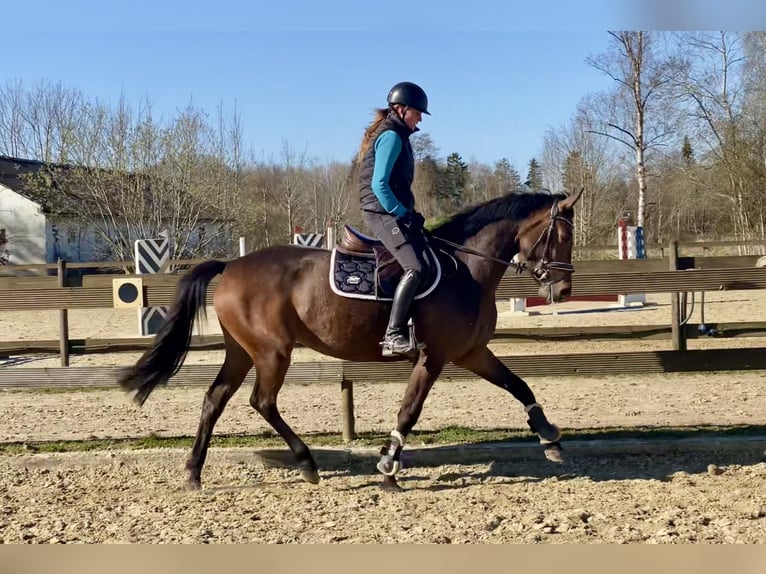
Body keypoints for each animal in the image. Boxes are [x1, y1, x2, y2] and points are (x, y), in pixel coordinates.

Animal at [118, 188, 584, 492]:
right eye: (563, 235)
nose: (562, 290)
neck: (465, 270)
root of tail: (231, 265)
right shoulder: (434, 357)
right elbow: (409, 411)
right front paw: (389, 468)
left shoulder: (471, 352)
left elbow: (519, 385)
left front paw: (550, 437)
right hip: (271, 352)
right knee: (261, 402)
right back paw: (306, 463)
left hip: (242, 352)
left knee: (215, 399)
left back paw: (194, 473)